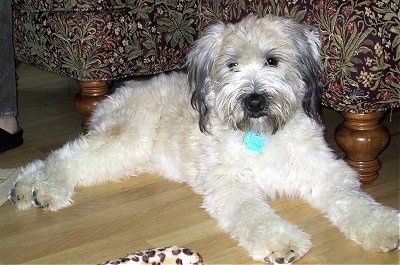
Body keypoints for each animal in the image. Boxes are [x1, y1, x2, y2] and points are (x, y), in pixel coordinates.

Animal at [7, 14, 398, 264]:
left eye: (272, 61)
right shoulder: (232, 184)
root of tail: (116, 94)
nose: (254, 100)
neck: (261, 136)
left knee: (60, 161)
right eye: (231, 65)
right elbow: (255, 215)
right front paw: (282, 241)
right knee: (60, 158)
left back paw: (28, 190)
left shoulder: (325, 172)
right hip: (123, 140)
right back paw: (36, 189)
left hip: (123, 156)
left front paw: (385, 227)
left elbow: (355, 202)